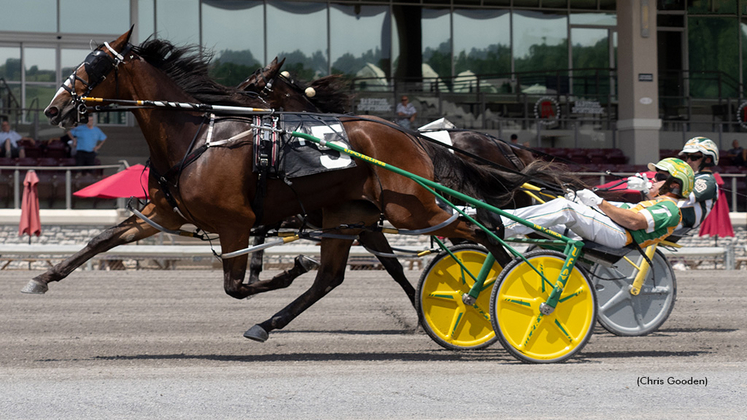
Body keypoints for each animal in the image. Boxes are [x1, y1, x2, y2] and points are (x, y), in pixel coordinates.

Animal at [27, 30, 560, 344]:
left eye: (95, 64)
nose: (54, 107)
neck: (195, 135)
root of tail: (409, 137)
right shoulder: (164, 213)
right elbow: (101, 240)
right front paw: (44, 277)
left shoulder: (237, 222)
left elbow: (236, 285)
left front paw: (288, 270)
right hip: (354, 214)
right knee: (333, 277)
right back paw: (269, 323)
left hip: (413, 210)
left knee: (485, 231)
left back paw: (520, 288)